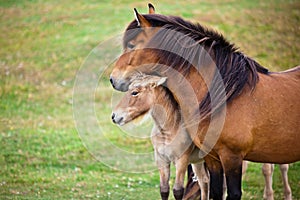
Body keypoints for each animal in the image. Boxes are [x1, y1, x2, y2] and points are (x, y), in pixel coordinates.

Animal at [109, 3, 300, 200]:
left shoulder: (231, 157)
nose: (112, 79)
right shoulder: (211, 156)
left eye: (131, 45)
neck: (227, 96)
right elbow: (214, 191)